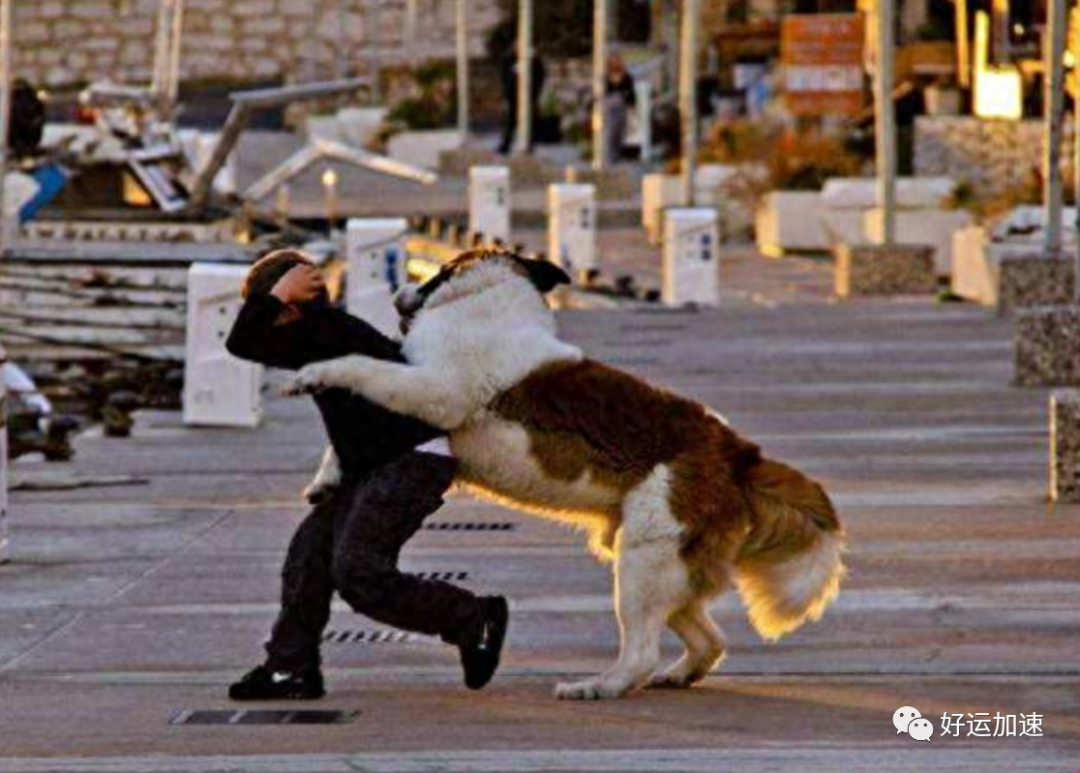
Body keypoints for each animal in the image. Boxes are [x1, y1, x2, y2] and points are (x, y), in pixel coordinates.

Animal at [285, 247, 842, 699]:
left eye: (435, 273)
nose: (399, 292)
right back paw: (678, 675)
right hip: (666, 560)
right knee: (708, 637)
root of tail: (737, 451)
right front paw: (327, 477)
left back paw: (601, 686)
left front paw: (313, 374)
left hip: (645, 557)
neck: (489, 299)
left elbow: (364, 367)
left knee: (641, 648)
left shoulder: (437, 390)